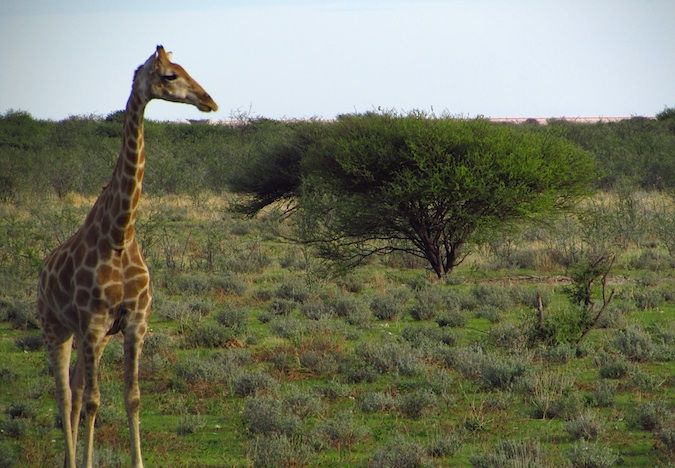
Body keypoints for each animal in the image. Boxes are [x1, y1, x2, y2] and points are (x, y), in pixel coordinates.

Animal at [37, 44, 217, 468]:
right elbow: (93, 402)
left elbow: (132, 398)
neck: (120, 235)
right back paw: (72, 460)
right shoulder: (94, 324)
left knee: (74, 391)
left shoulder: (134, 323)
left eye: (185, 68)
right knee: (65, 395)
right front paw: (87, 463)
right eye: (169, 75)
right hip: (56, 327)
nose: (209, 101)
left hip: (88, 336)